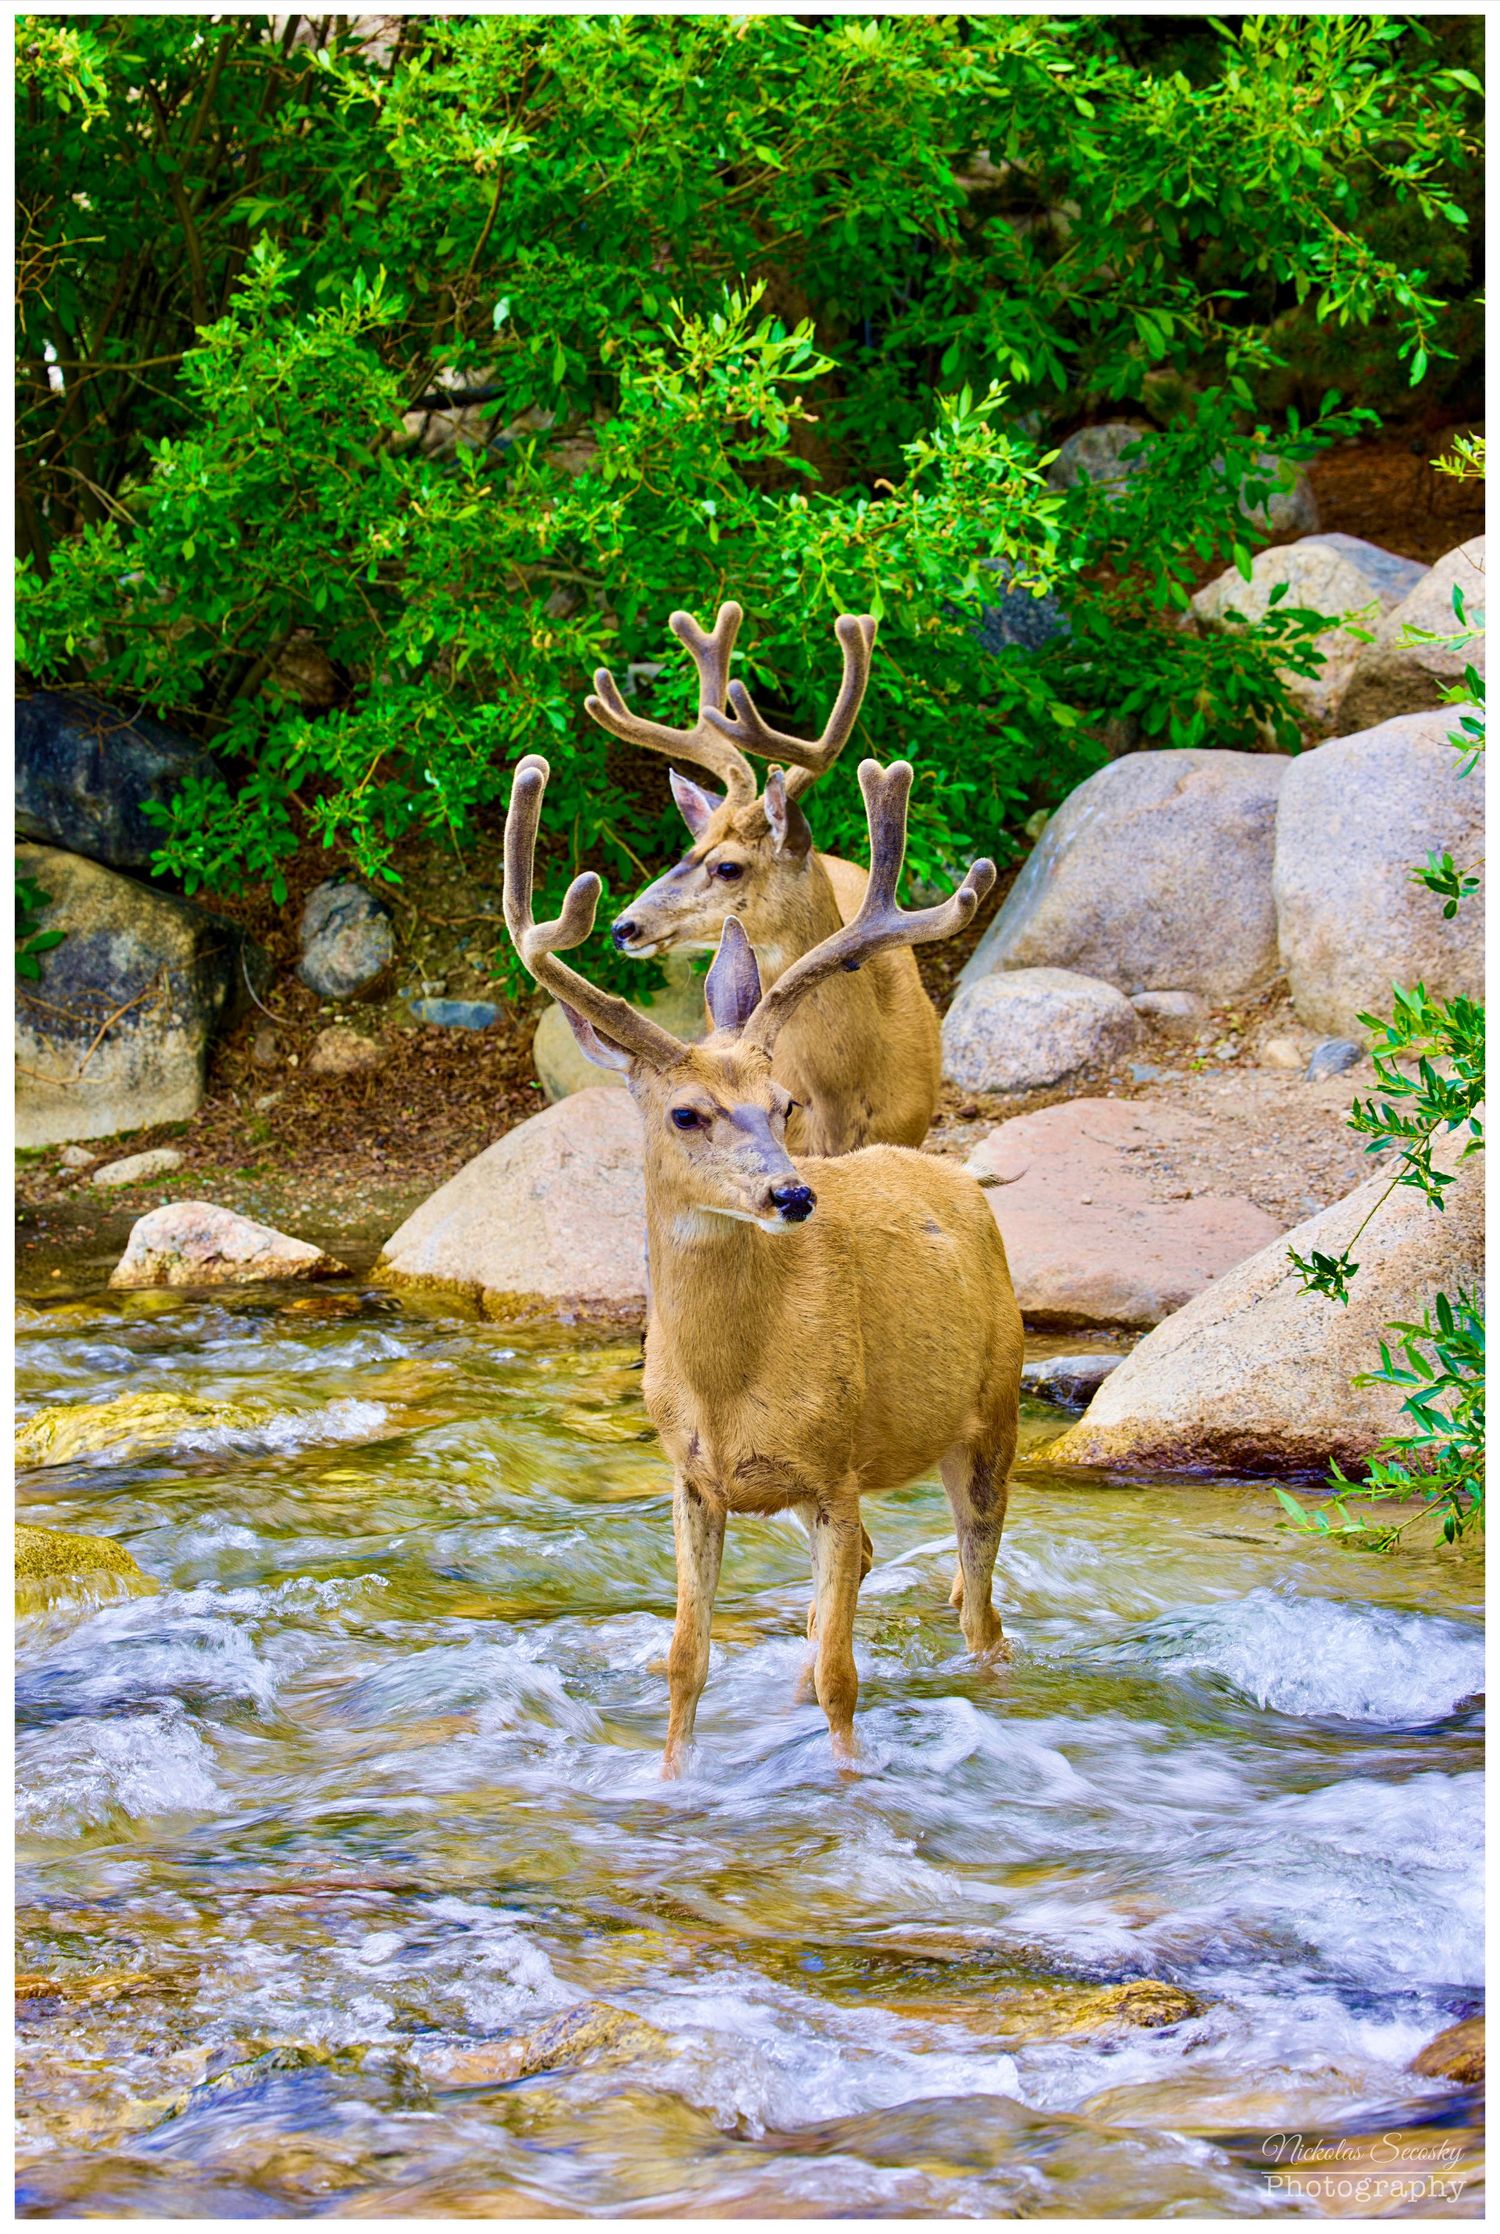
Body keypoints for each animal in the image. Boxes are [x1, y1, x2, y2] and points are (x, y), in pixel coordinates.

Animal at [503, 748, 1024, 1775]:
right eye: (685, 1112)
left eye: (783, 1105)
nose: (793, 1196)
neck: (728, 1380)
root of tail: (955, 1178)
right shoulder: (690, 1480)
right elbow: (685, 1663)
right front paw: (672, 1782)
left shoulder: (835, 1471)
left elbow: (844, 1681)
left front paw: (848, 1786)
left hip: (994, 1410)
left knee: (980, 1615)